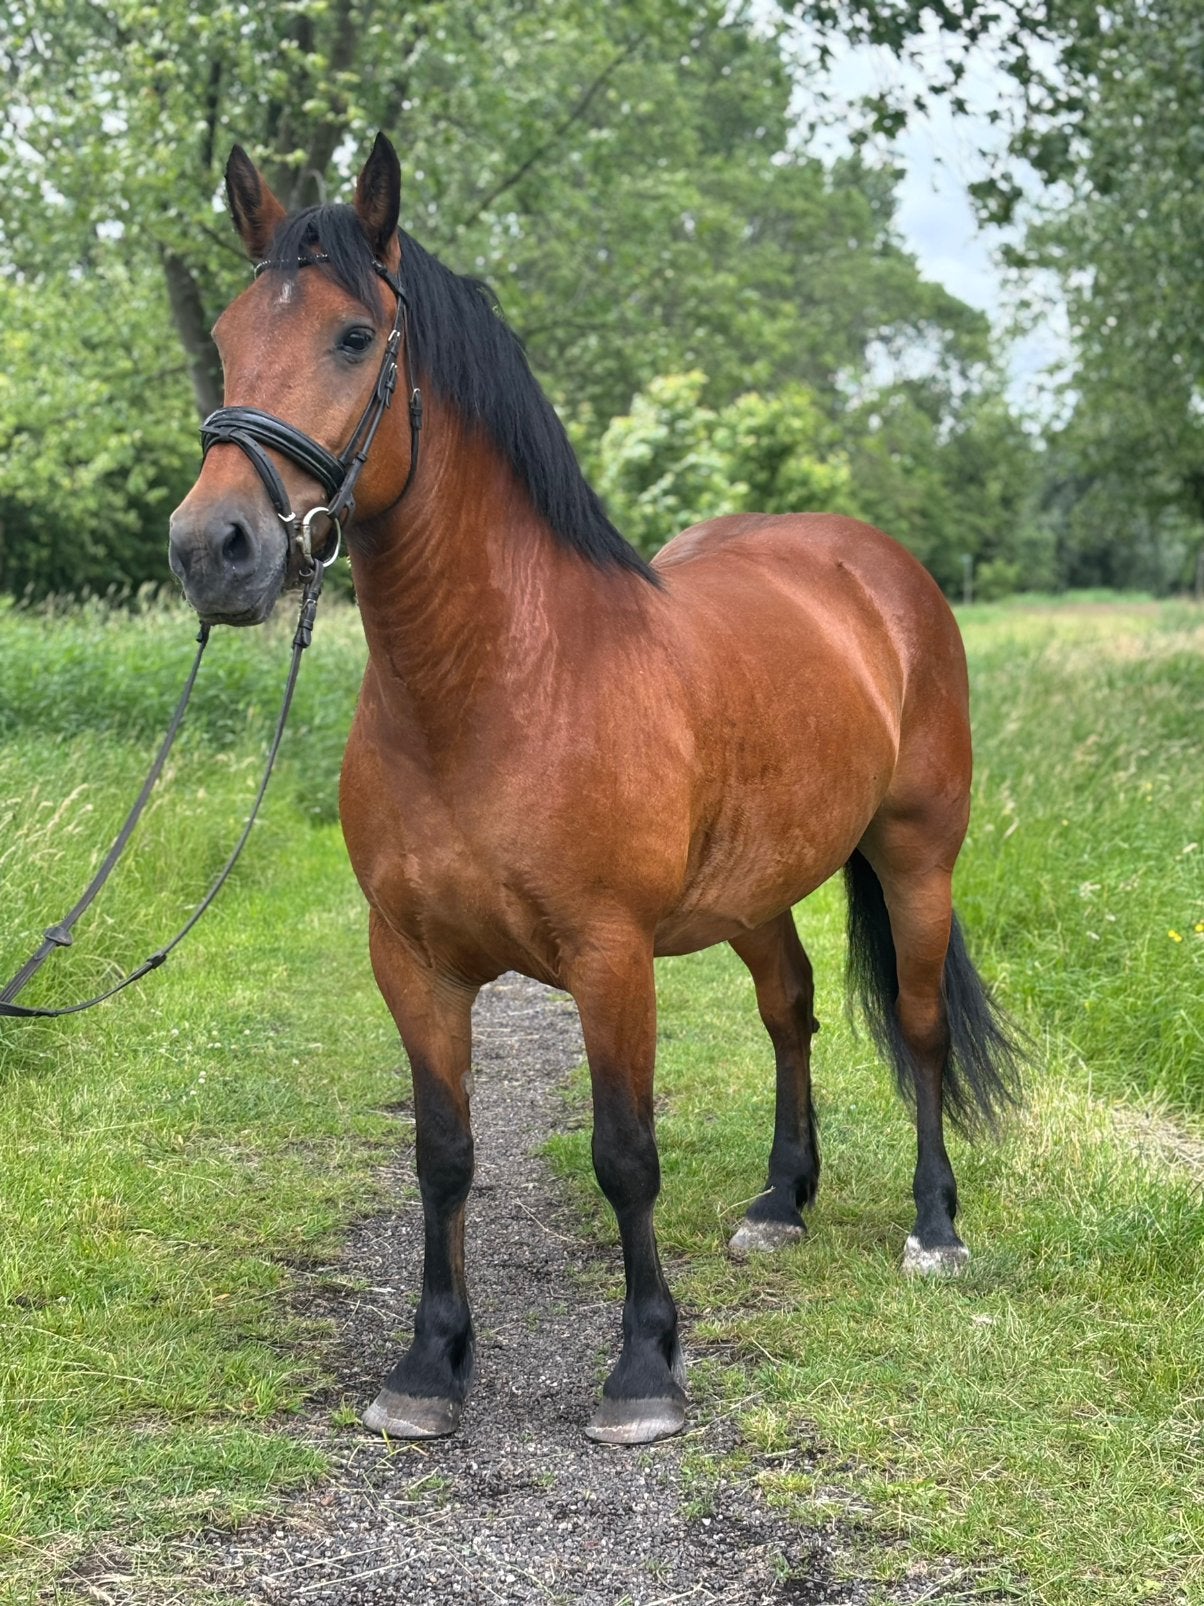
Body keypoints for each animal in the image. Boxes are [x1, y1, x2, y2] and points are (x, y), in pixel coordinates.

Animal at [168, 132, 1022, 1447]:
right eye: (222, 332)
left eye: (355, 337)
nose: (213, 549)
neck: (496, 684)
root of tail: (871, 565)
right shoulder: (410, 960)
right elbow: (442, 1152)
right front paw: (429, 1365)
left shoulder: (610, 956)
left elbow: (625, 1153)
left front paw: (643, 1372)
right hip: (756, 889)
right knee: (790, 1009)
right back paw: (779, 1203)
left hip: (915, 856)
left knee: (920, 1026)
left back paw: (935, 1230)